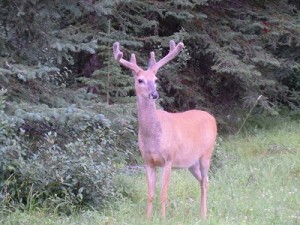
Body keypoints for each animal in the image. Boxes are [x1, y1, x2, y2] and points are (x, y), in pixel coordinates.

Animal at [113, 40, 217, 220]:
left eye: (155, 79)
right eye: (140, 80)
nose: (154, 94)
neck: (153, 137)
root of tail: (212, 118)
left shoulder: (169, 158)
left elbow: (163, 193)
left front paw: (162, 218)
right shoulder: (148, 161)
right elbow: (150, 194)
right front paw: (148, 219)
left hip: (206, 154)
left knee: (205, 181)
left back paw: (204, 215)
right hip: (191, 162)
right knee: (204, 181)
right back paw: (201, 213)